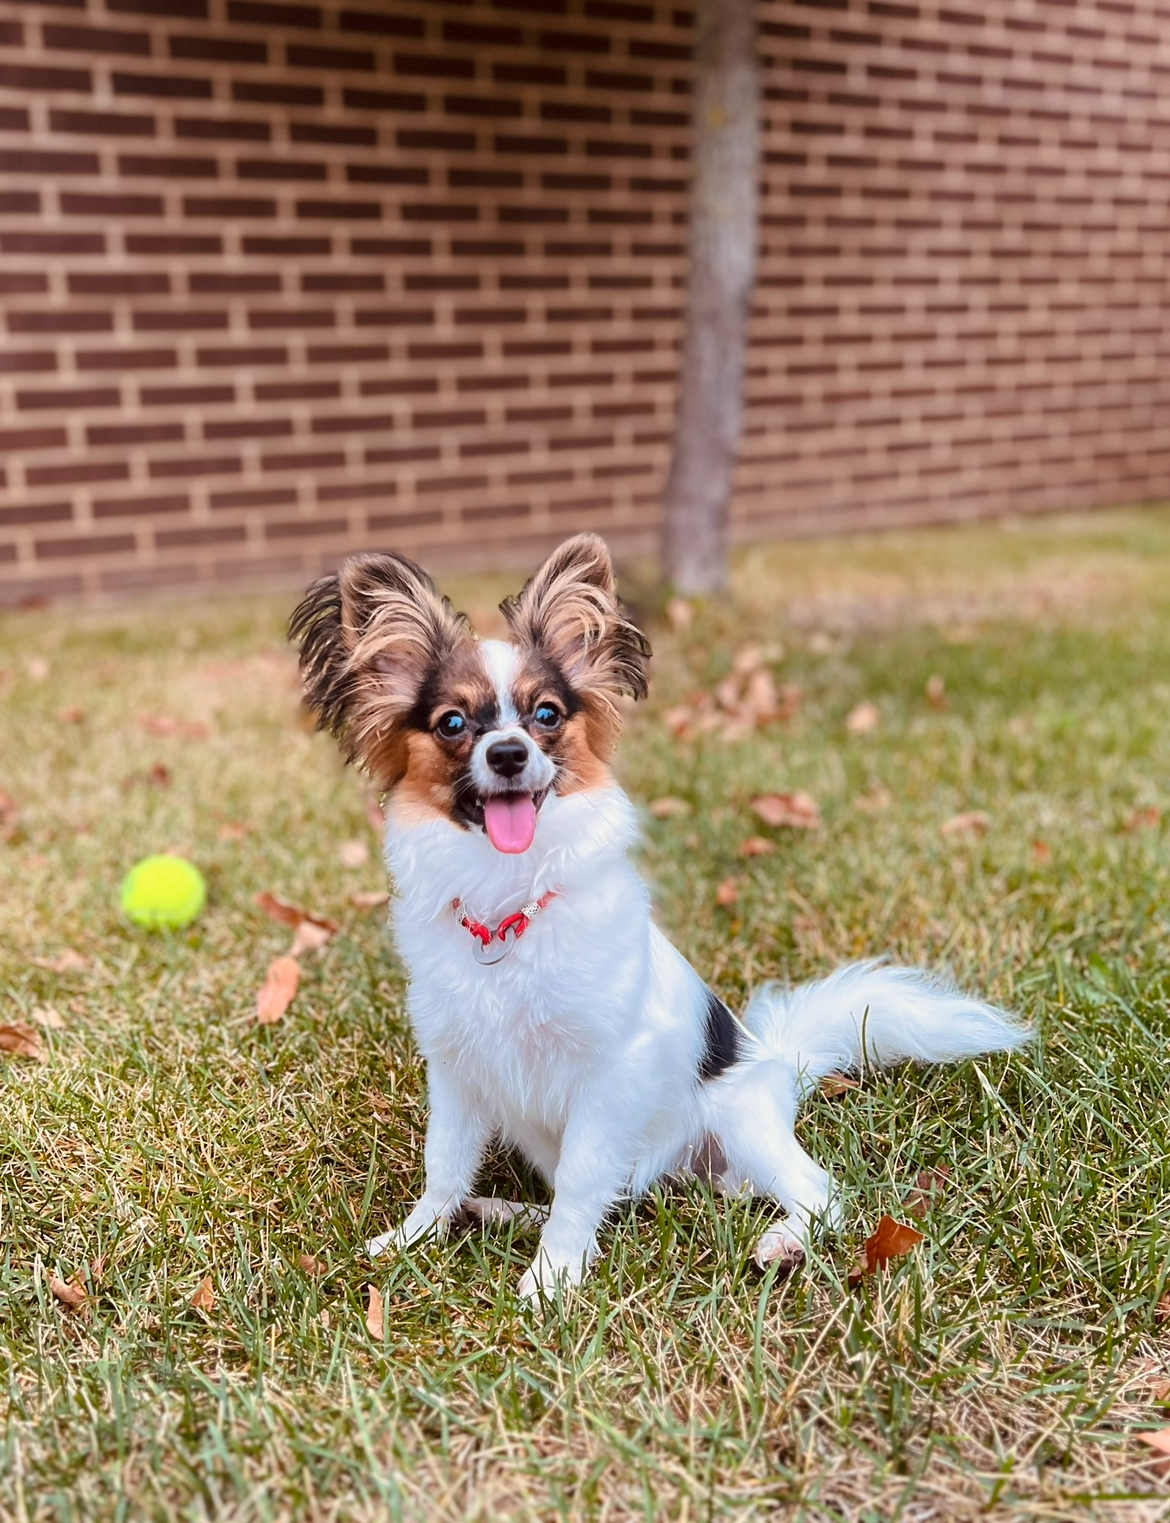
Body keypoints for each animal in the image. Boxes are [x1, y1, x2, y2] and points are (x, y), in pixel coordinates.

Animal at [289, 533, 1023, 1297]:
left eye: (546, 715)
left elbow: (583, 1178)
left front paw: (553, 1276)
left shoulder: (609, 1071)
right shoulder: (458, 1068)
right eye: (453, 724)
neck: (511, 896)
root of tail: (781, 1066)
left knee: (814, 1192)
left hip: (741, 1119)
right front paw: (418, 1236)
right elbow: (445, 1167)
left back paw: (783, 1242)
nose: (510, 753)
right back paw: (498, 1211)